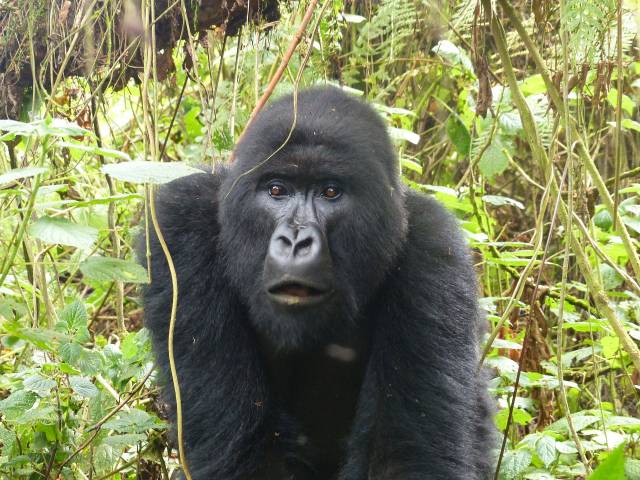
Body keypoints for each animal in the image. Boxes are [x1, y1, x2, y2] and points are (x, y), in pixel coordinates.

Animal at [142, 87, 496, 480]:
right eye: (277, 190)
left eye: (330, 192)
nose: (296, 242)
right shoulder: (179, 227)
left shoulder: (434, 249)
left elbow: (404, 456)